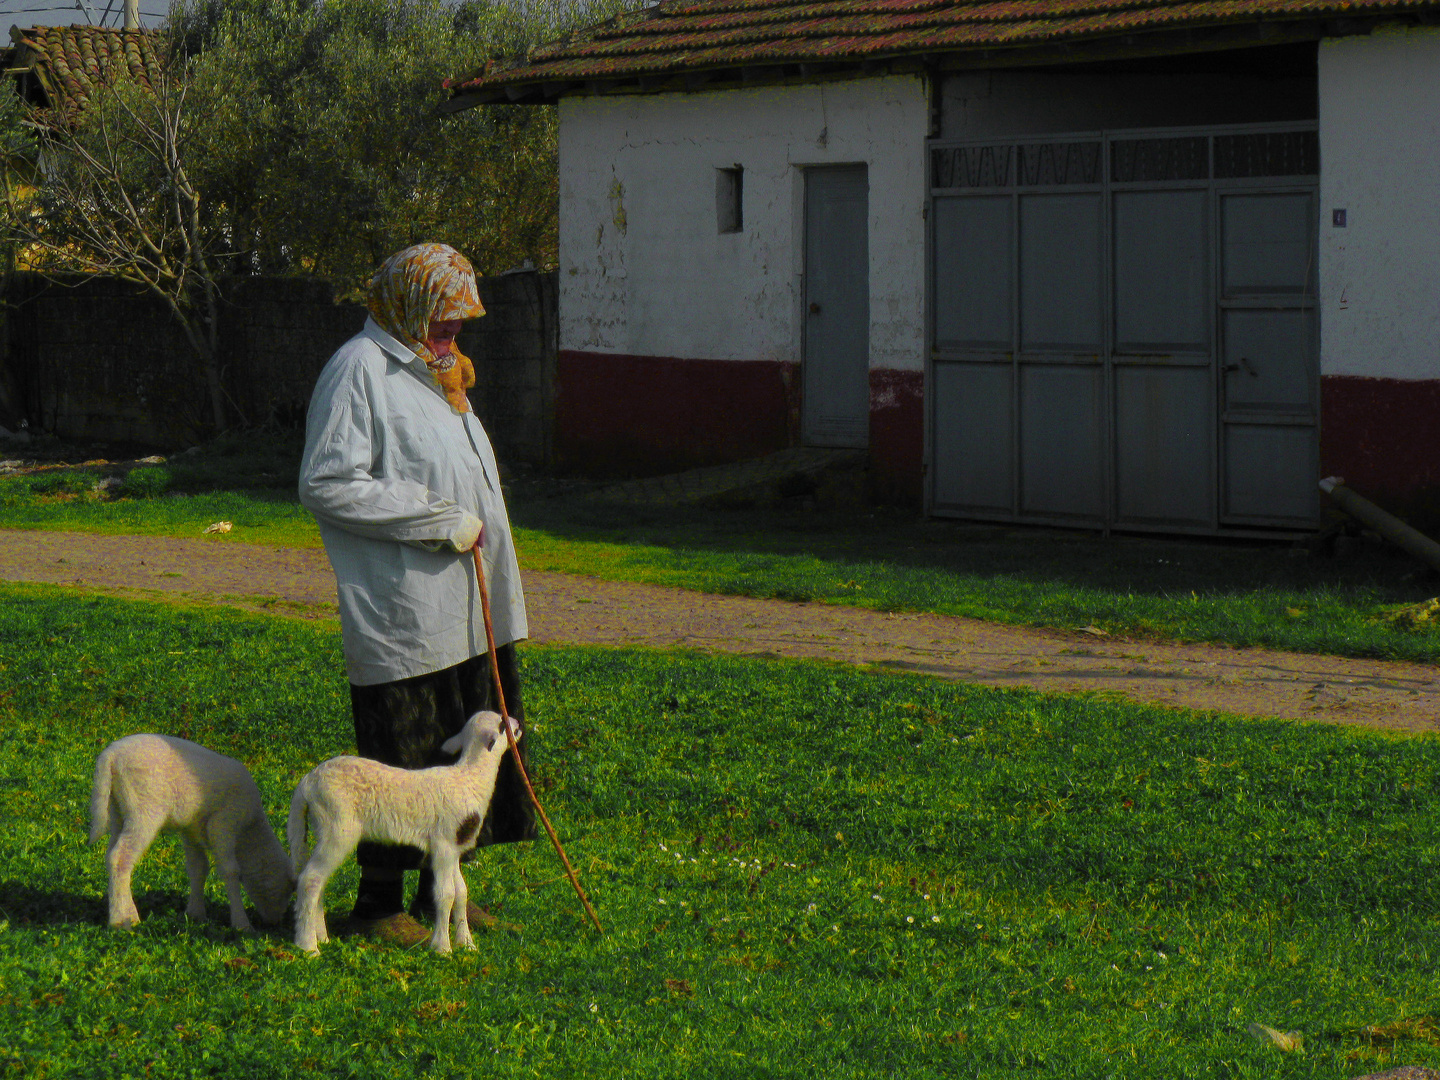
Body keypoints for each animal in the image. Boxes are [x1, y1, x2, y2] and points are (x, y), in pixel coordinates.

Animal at [88, 743, 296, 933]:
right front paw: (241, 924)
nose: (274, 922)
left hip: (117, 809)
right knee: (120, 857)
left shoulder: (191, 830)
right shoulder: (224, 823)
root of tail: (110, 757)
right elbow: (230, 871)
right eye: (286, 891)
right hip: (144, 809)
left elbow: (198, 868)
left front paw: (196, 914)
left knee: (111, 855)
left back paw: (125, 911)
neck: (249, 831)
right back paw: (121, 920)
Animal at [286, 711, 518, 956]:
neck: (469, 779)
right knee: (310, 879)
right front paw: (442, 948)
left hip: (325, 825)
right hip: (337, 825)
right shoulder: (443, 844)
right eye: (503, 725)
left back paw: (321, 937)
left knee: (318, 881)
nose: (518, 724)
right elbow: (445, 894)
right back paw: (308, 946)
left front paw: (467, 943)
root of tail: (307, 782)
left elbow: (461, 892)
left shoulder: (454, 846)